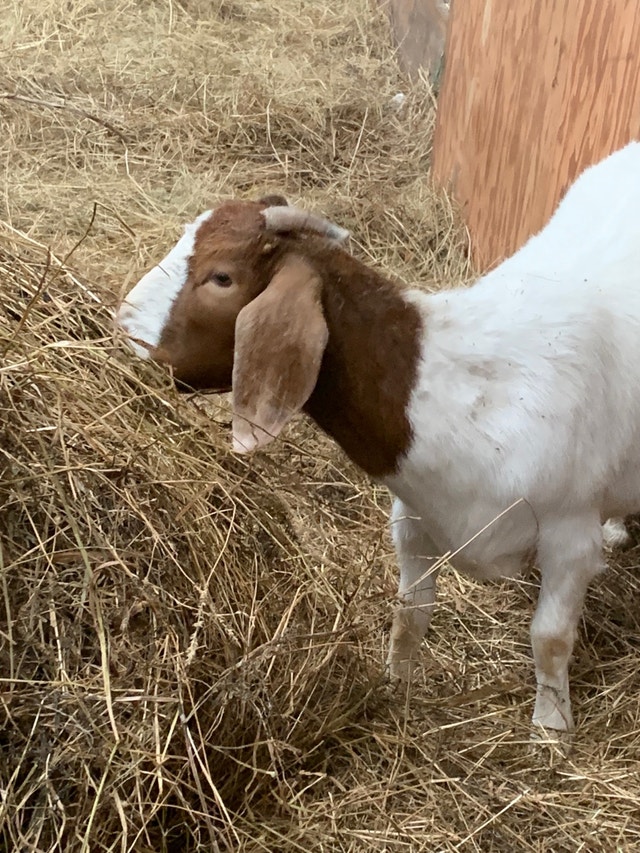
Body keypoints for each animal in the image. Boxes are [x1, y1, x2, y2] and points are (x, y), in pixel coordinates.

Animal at [118, 142, 640, 733]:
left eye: (221, 277)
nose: (121, 325)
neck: (460, 390)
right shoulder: (411, 520)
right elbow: (410, 615)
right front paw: (396, 688)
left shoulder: (568, 537)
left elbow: (549, 639)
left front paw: (551, 732)